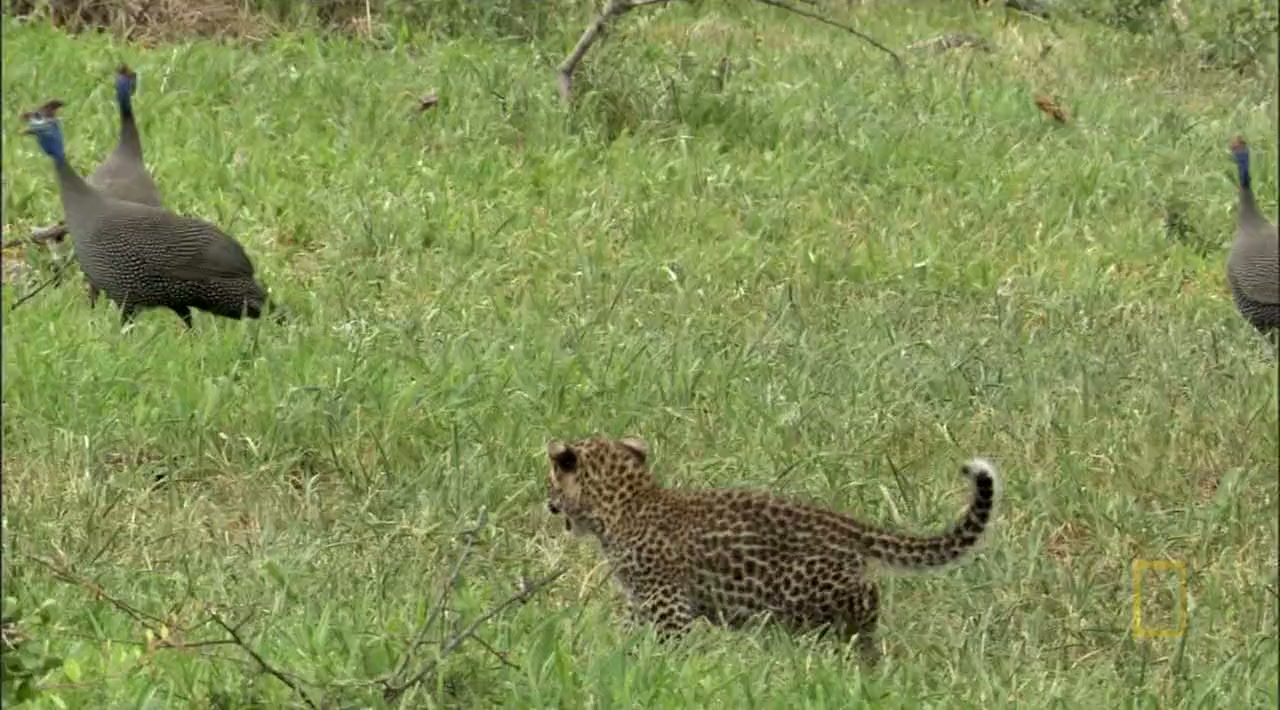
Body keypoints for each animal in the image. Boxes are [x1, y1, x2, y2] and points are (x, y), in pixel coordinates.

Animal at [544, 434, 1001, 663]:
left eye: (550, 479)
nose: (546, 502)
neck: (622, 504)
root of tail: (852, 528)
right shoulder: (642, 600)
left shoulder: (666, 600)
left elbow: (668, 640)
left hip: (809, 589)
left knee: (861, 608)